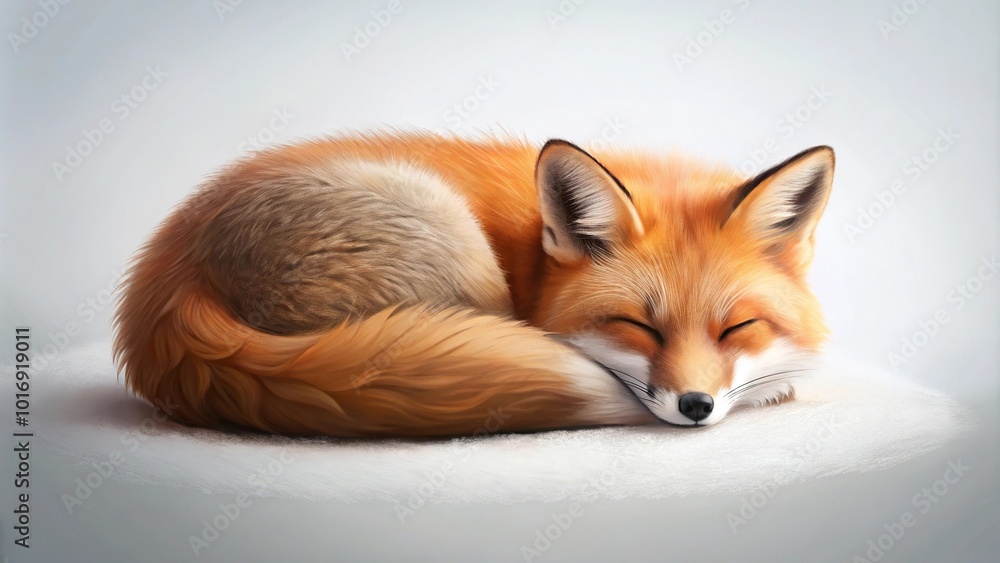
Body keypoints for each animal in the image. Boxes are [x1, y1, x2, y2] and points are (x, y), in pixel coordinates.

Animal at [112, 132, 834, 437]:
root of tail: (172, 269)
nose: (695, 405)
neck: (533, 257)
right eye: (639, 326)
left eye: (737, 327)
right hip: (453, 240)